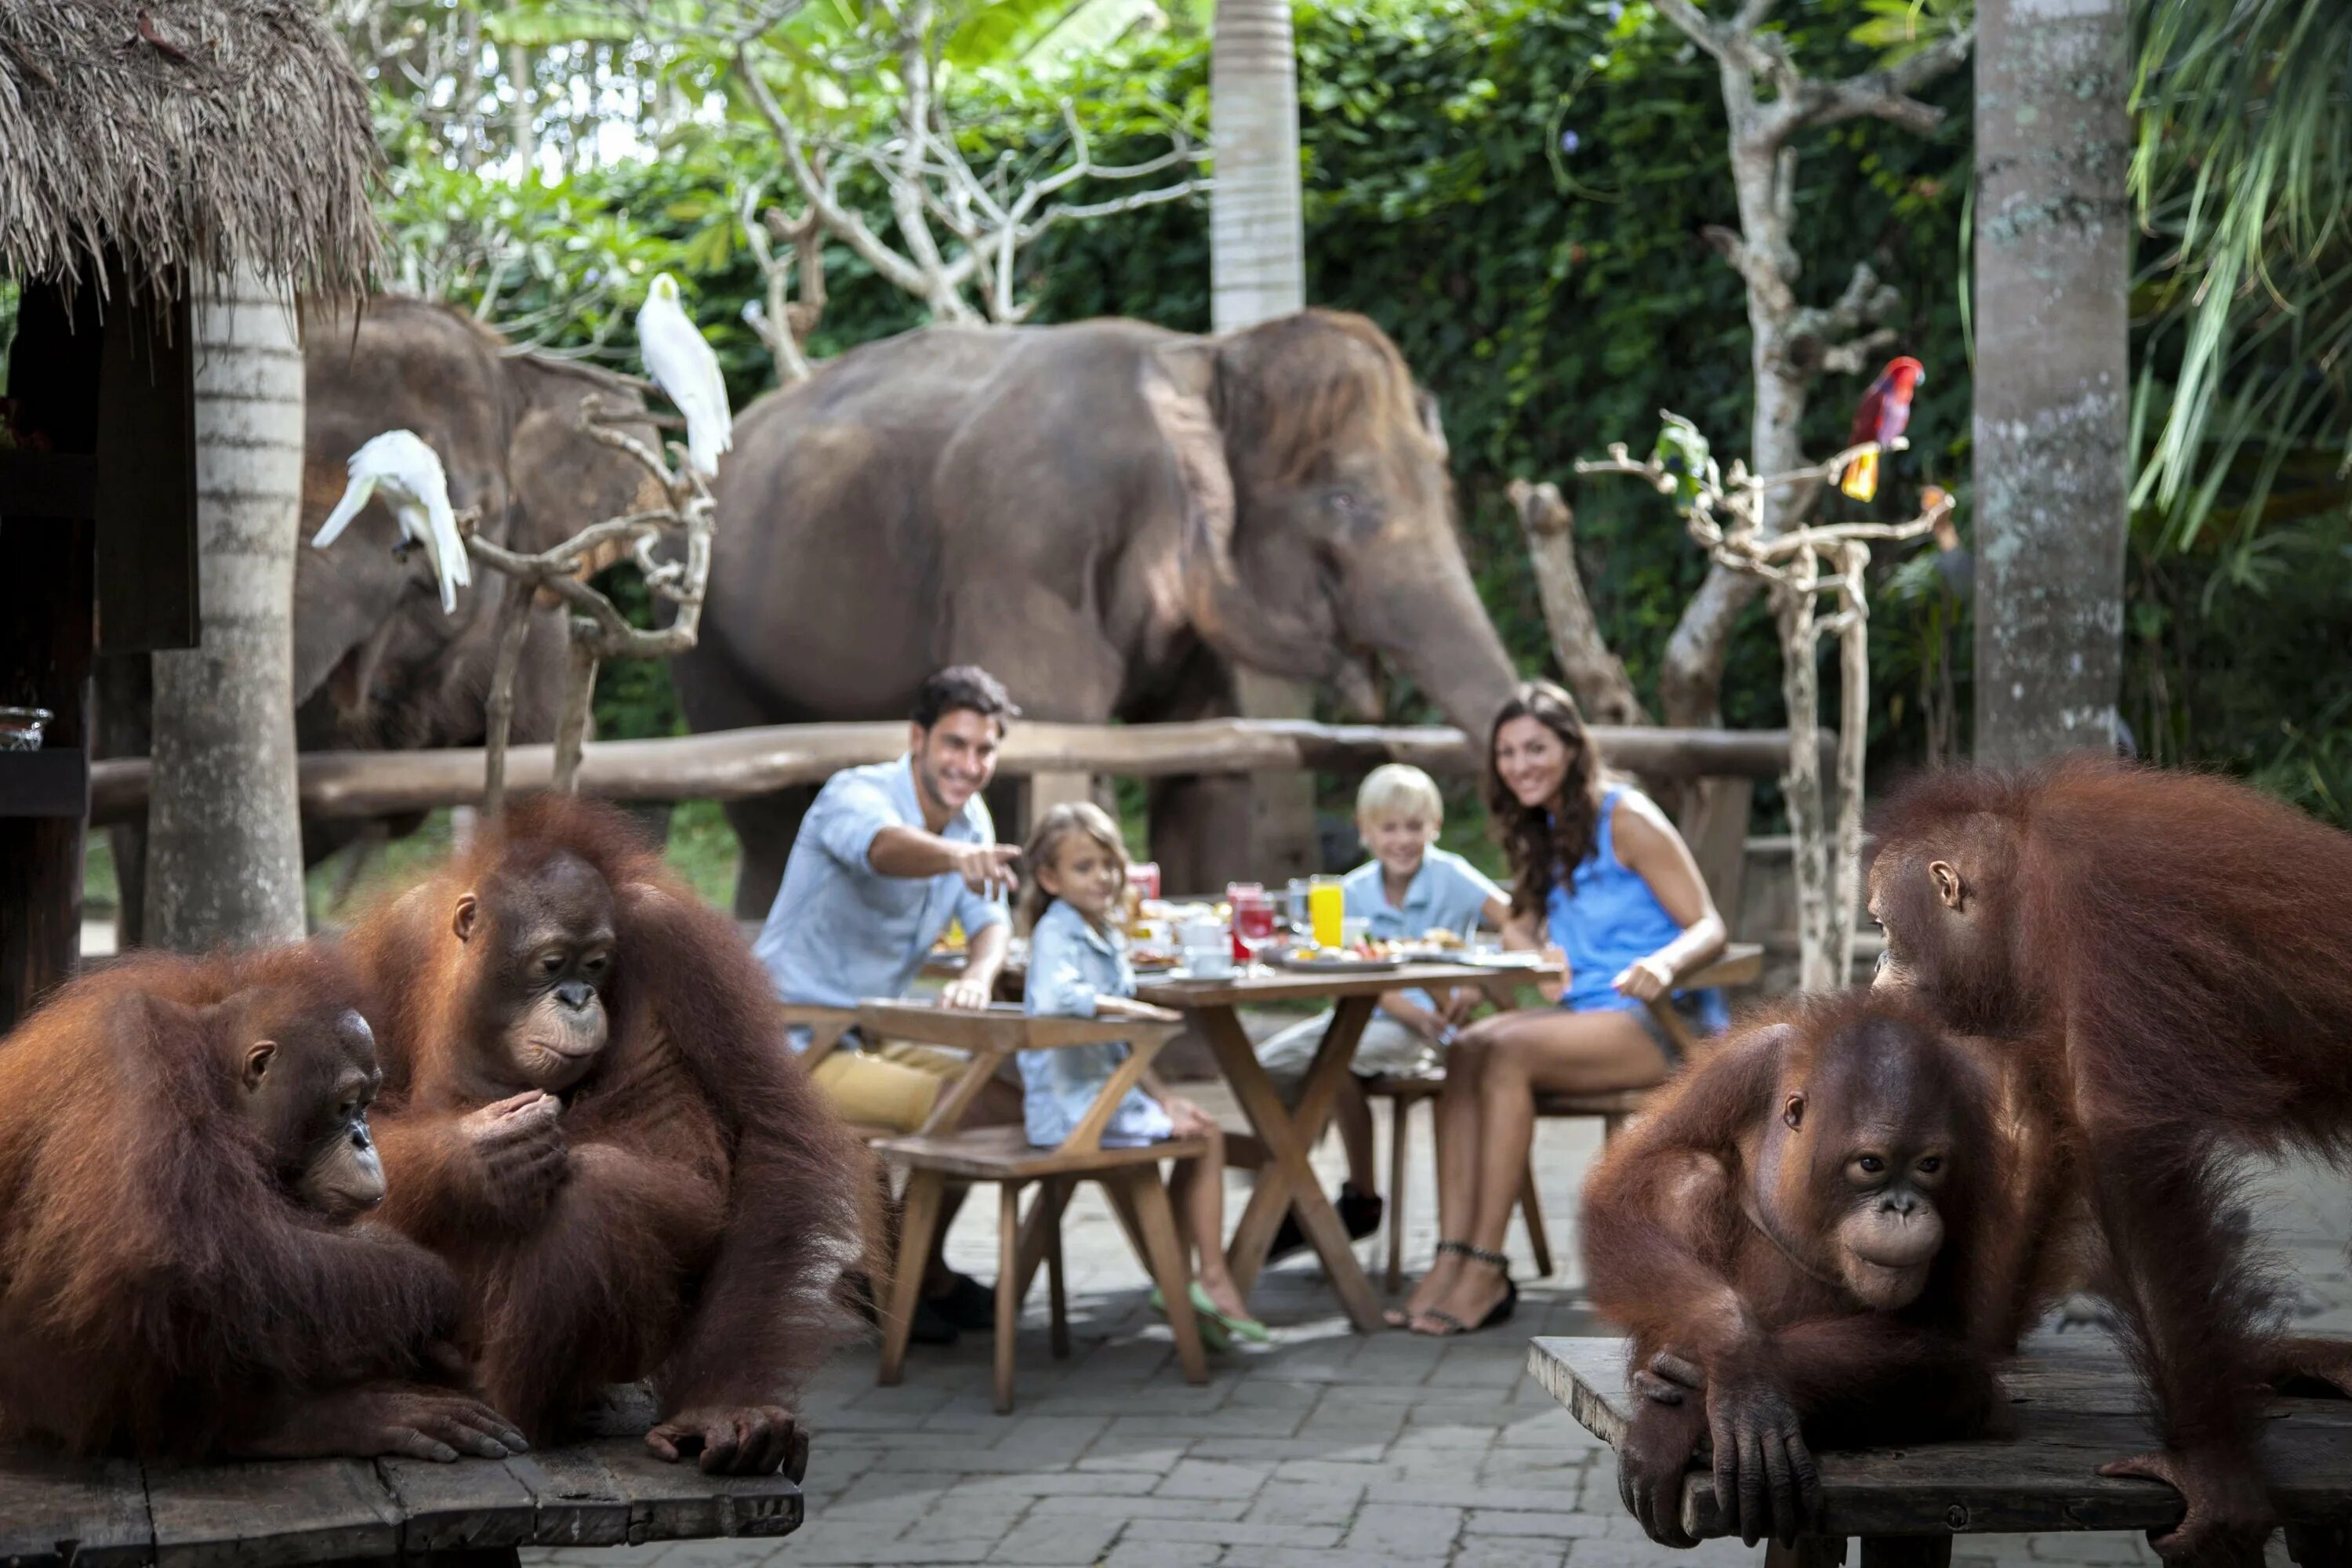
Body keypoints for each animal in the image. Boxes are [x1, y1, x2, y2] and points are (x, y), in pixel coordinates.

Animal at [677, 310, 1524, 921]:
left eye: (1445, 492)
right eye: (1345, 500)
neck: (1198, 358)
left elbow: (1200, 762)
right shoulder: (1026, 541)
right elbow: (1047, 737)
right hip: (705, 619)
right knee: (763, 802)